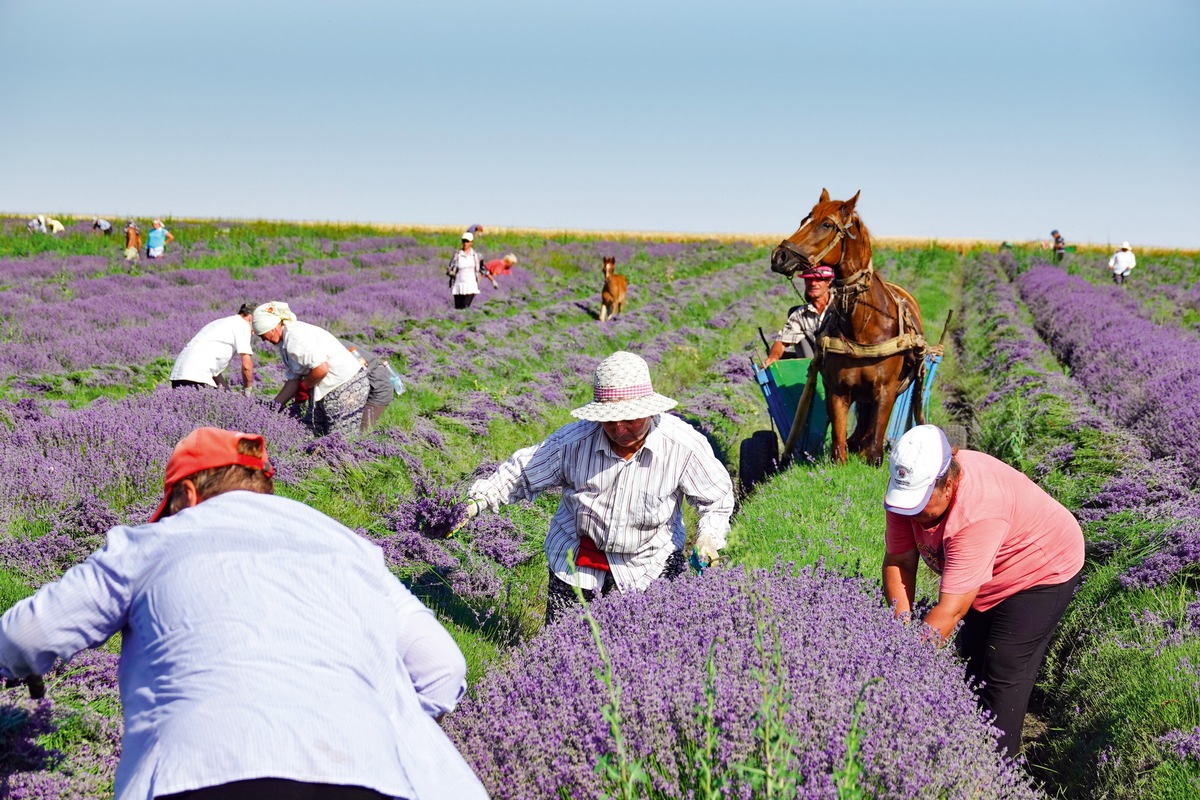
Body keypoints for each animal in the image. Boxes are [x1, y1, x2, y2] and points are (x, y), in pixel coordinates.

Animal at [768, 189, 926, 462]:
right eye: (803, 220)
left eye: (826, 224)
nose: (779, 256)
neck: (863, 327)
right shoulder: (837, 391)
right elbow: (839, 450)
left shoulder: (885, 391)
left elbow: (875, 450)